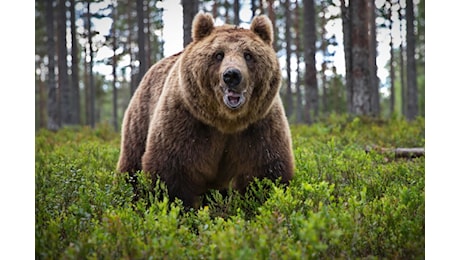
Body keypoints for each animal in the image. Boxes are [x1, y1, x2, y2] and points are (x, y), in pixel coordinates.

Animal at [117, 12, 292, 209]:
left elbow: (265, 170)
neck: (227, 121)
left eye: (248, 54)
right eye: (218, 54)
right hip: (141, 116)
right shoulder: (187, 121)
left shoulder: (259, 125)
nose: (232, 75)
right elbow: (173, 170)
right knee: (132, 162)